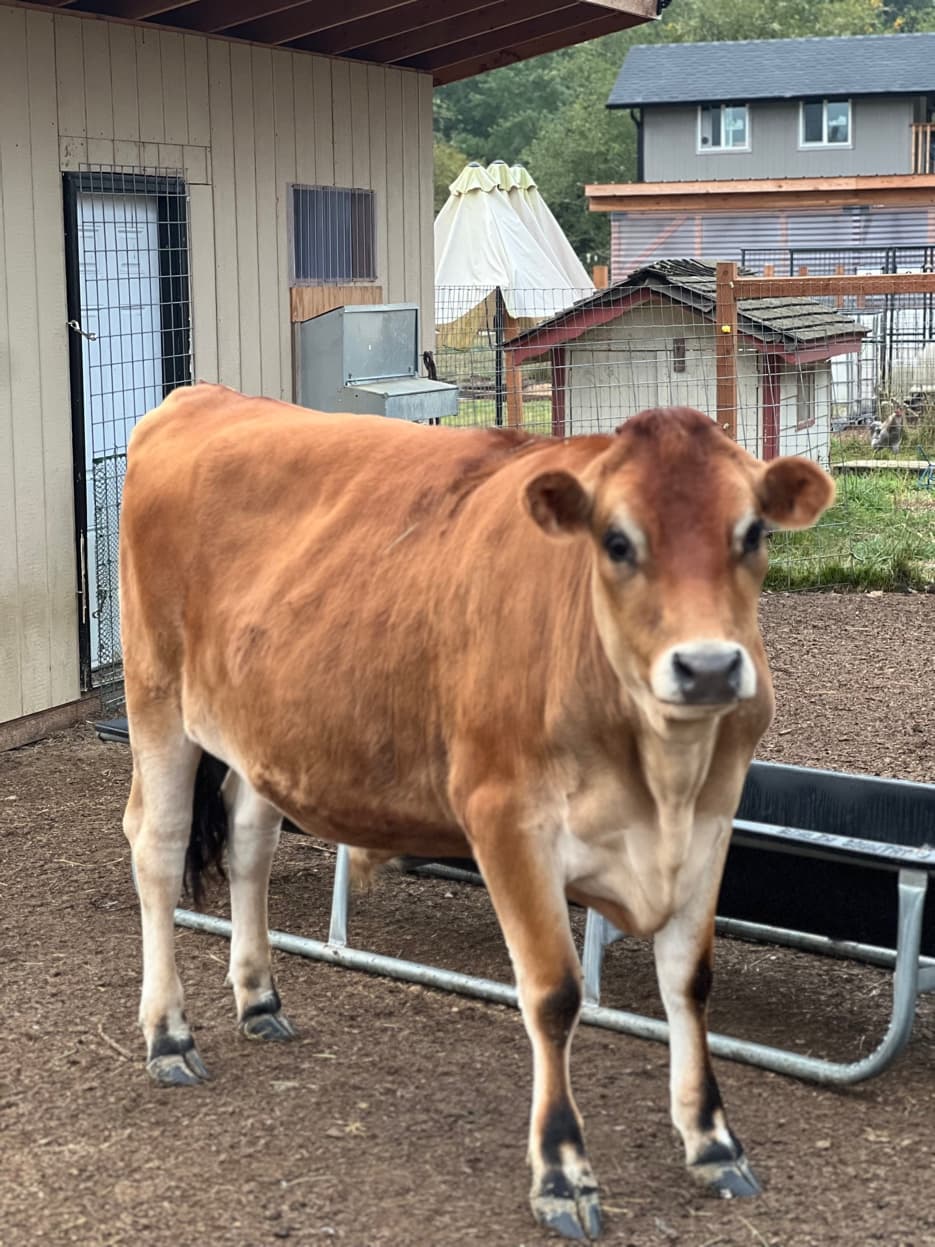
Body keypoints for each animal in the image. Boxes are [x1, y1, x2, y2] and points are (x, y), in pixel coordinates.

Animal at [119, 385, 834, 1241]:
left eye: (752, 531)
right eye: (616, 540)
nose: (707, 667)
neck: (660, 772)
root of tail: (202, 395)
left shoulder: (711, 818)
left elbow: (689, 981)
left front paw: (712, 1140)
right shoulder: (505, 816)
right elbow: (553, 993)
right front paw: (562, 1171)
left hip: (264, 728)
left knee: (250, 841)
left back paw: (259, 997)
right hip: (156, 694)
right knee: (157, 848)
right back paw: (168, 1034)